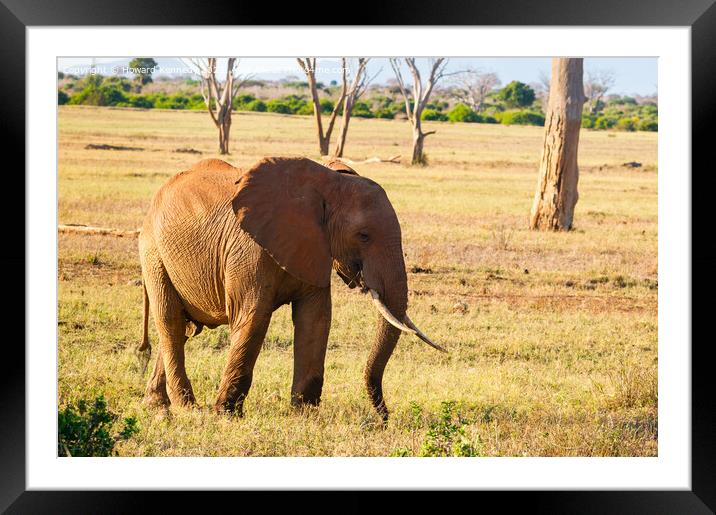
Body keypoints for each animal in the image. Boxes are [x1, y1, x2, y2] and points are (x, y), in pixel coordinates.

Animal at [136, 157, 442, 424]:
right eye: (364, 236)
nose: (384, 418)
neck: (326, 183)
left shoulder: (315, 249)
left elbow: (315, 320)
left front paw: (304, 413)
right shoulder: (249, 251)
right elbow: (253, 318)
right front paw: (226, 414)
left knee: (183, 330)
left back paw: (156, 405)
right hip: (154, 252)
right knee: (170, 321)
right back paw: (186, 409)